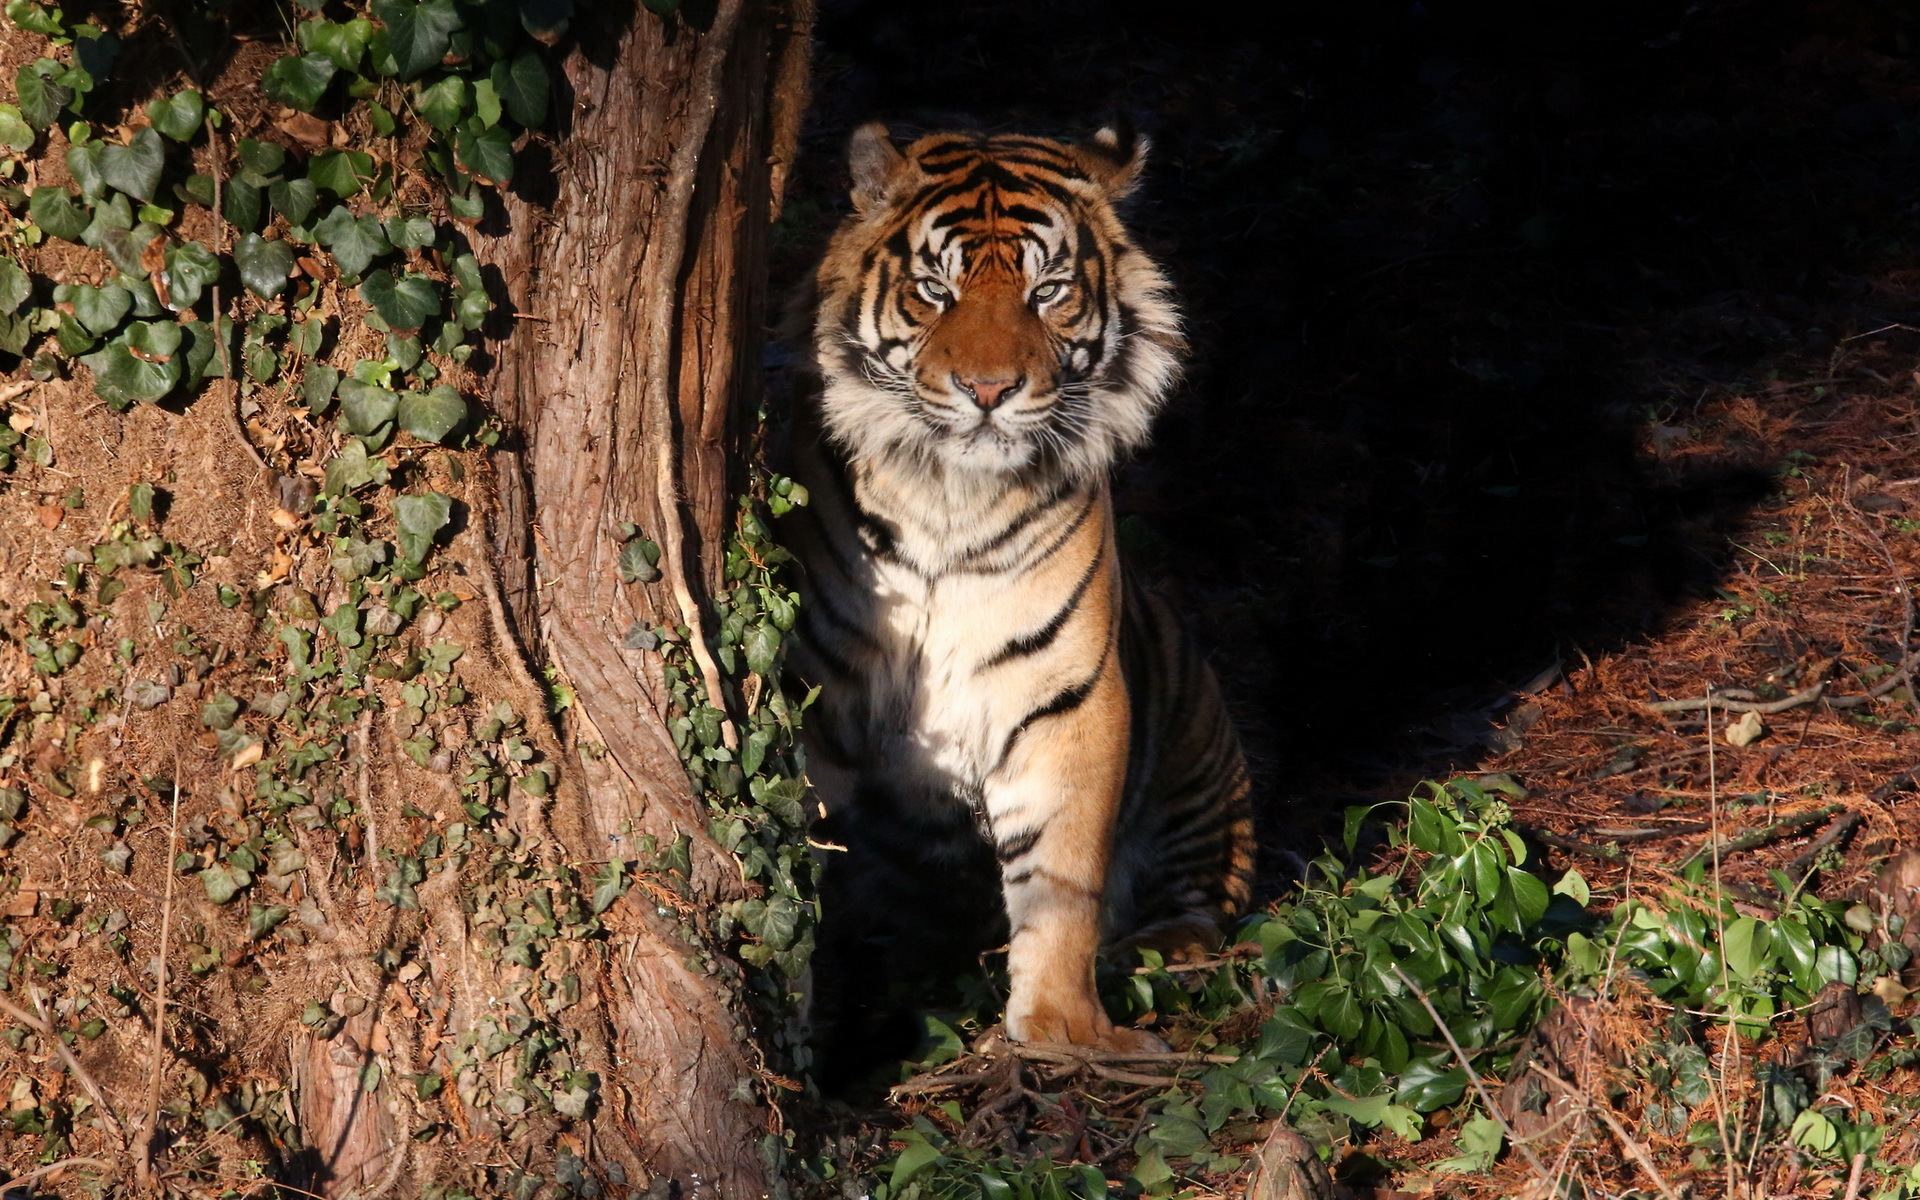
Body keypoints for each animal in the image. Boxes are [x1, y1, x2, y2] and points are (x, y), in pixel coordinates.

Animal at [783, 126, 1259, 1052]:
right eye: (936, 291)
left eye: (1048, 293)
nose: (990, 391)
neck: (947, 499)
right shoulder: (818, 698)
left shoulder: (1067, 697)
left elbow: (1062, 879)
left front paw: (1062, 1029)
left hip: (1198, 753)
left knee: (1203, 901)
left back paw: (1149, 952)